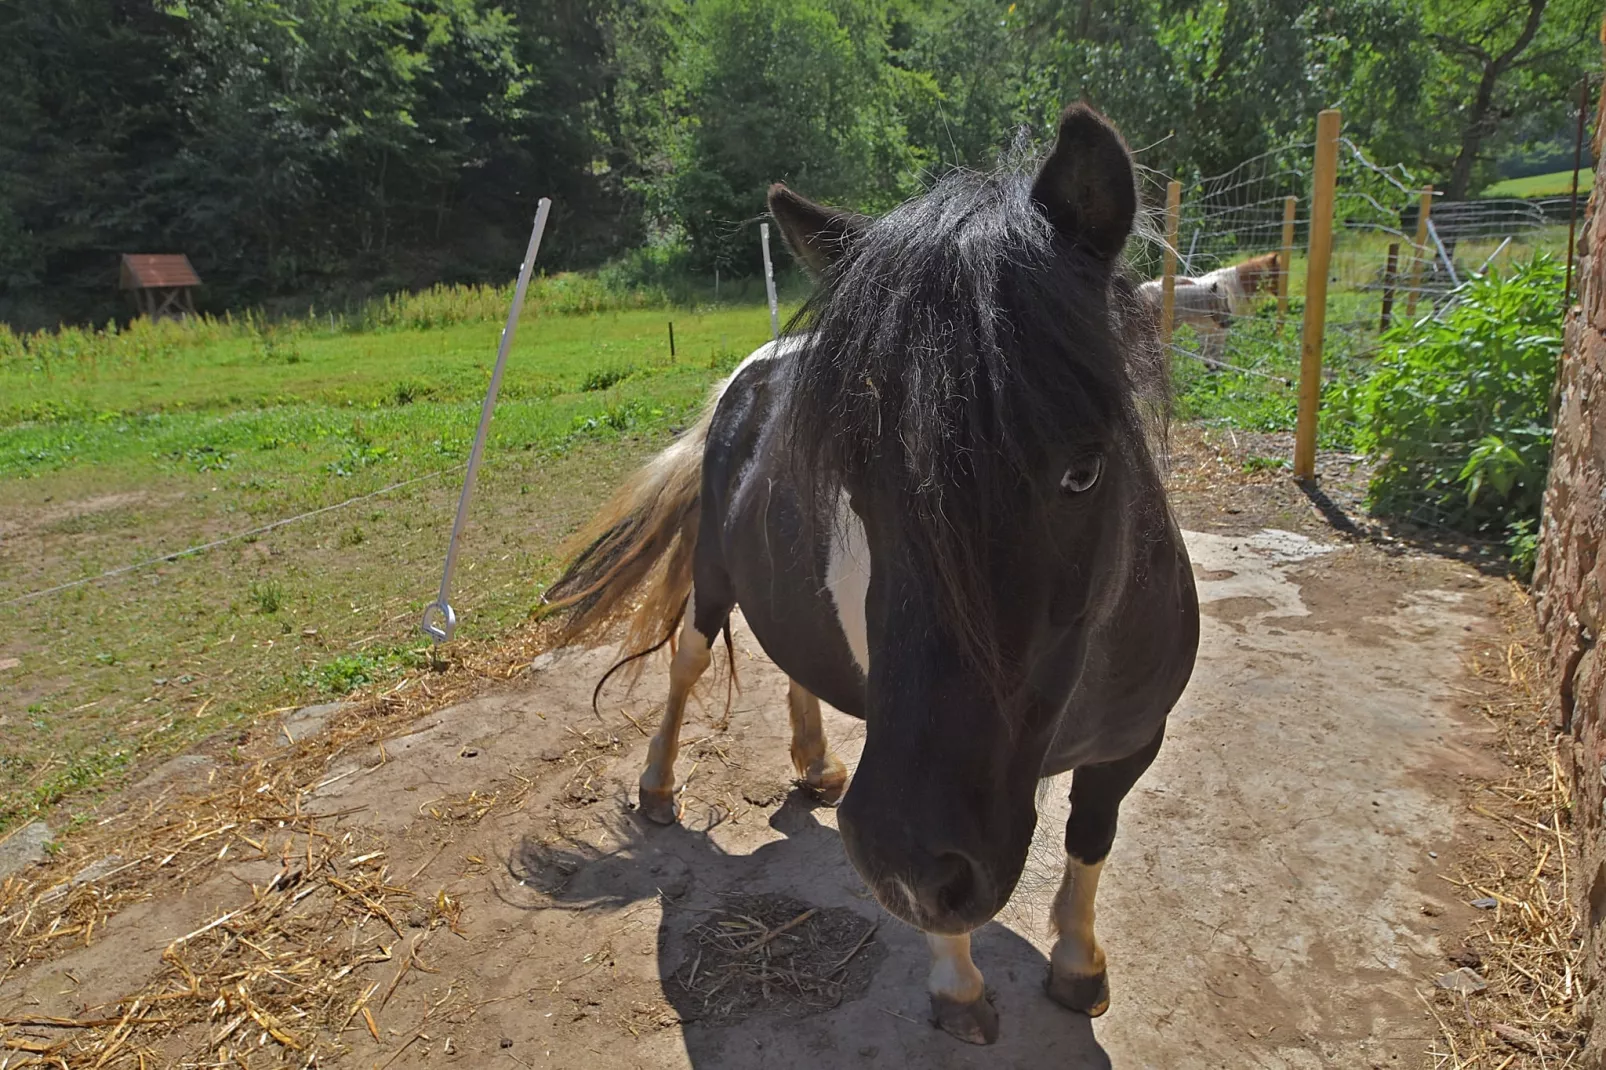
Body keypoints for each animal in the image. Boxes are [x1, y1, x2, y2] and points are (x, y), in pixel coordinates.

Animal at [546, 106, 1201, 1041]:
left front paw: (1079, 964)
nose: (906, 855)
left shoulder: (1129, 747)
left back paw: (816, 765)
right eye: (855, 481)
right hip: (712, 579)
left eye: (1084, 471)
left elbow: (1090, 841)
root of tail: (747, 377)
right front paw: (957, 987)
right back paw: (659, 786)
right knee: (687, 663)